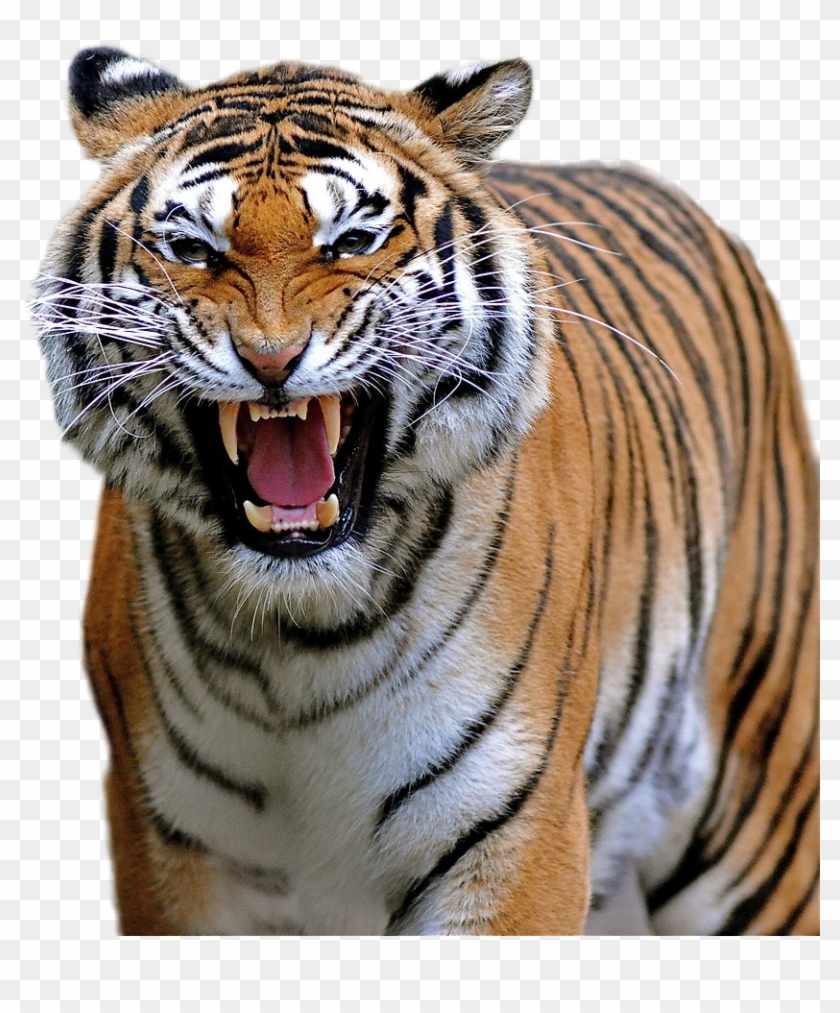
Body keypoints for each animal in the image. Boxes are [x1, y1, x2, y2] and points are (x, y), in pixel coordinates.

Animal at [33, 48, 818, 936]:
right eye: (194, 248)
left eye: (351, 241)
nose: (271, 358)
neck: (299, 636)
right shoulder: (171, 844)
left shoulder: (513, 835)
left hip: (755, 802)